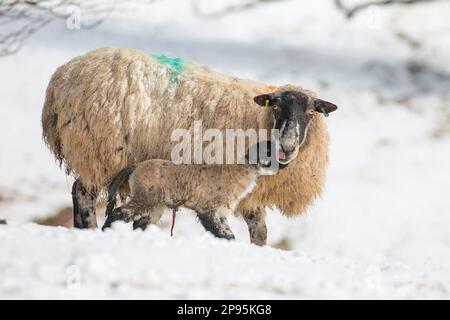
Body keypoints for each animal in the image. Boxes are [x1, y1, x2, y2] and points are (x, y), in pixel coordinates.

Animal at [101, 140, 284, 232]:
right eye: (269, 152)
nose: (282, 166)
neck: (239, 173)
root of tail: (135, 167)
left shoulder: (221, 213)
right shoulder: (207, 210)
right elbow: (220, 233)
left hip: (155, 204)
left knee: (139, 224)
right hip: (145, 197)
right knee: (119, 213)